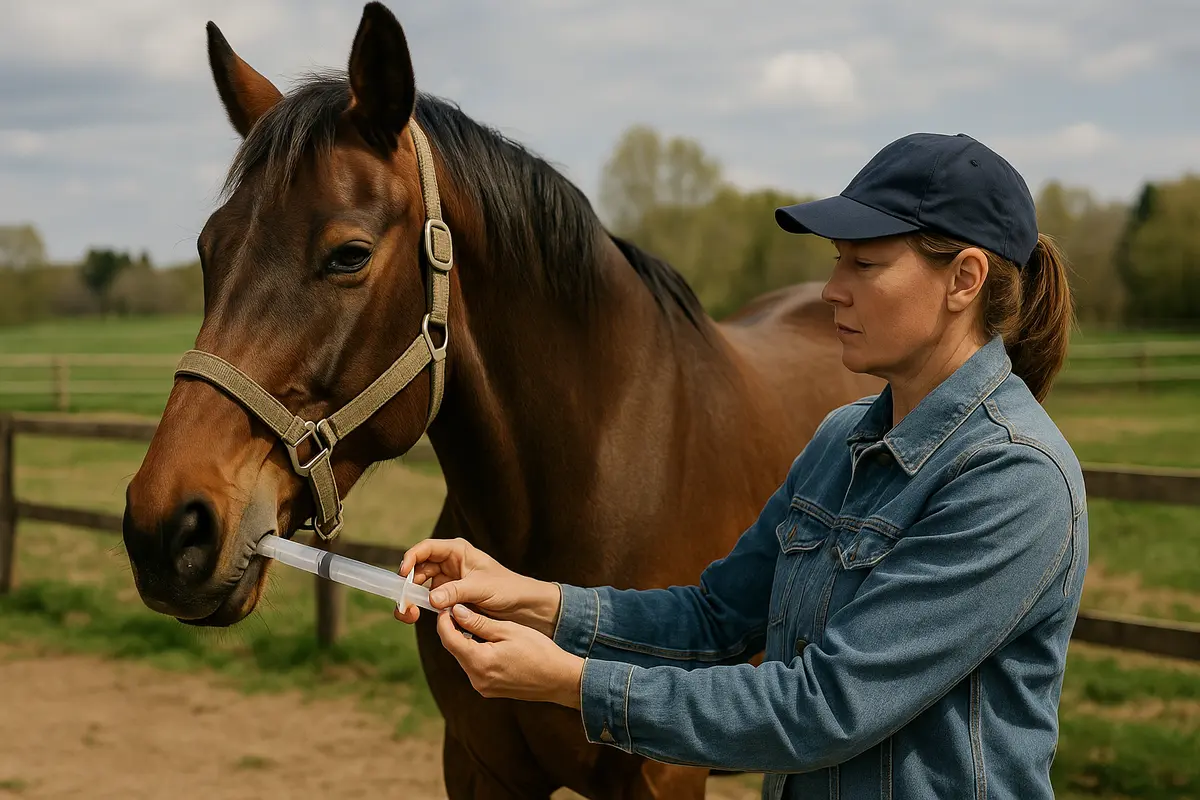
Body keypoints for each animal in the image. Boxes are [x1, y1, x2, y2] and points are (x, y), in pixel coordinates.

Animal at [120, 3, 883, 797]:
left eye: (349, 255)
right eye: (209, 249)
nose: (164, 527)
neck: (600, 476)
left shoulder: (663, 778)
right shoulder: (478, 763)